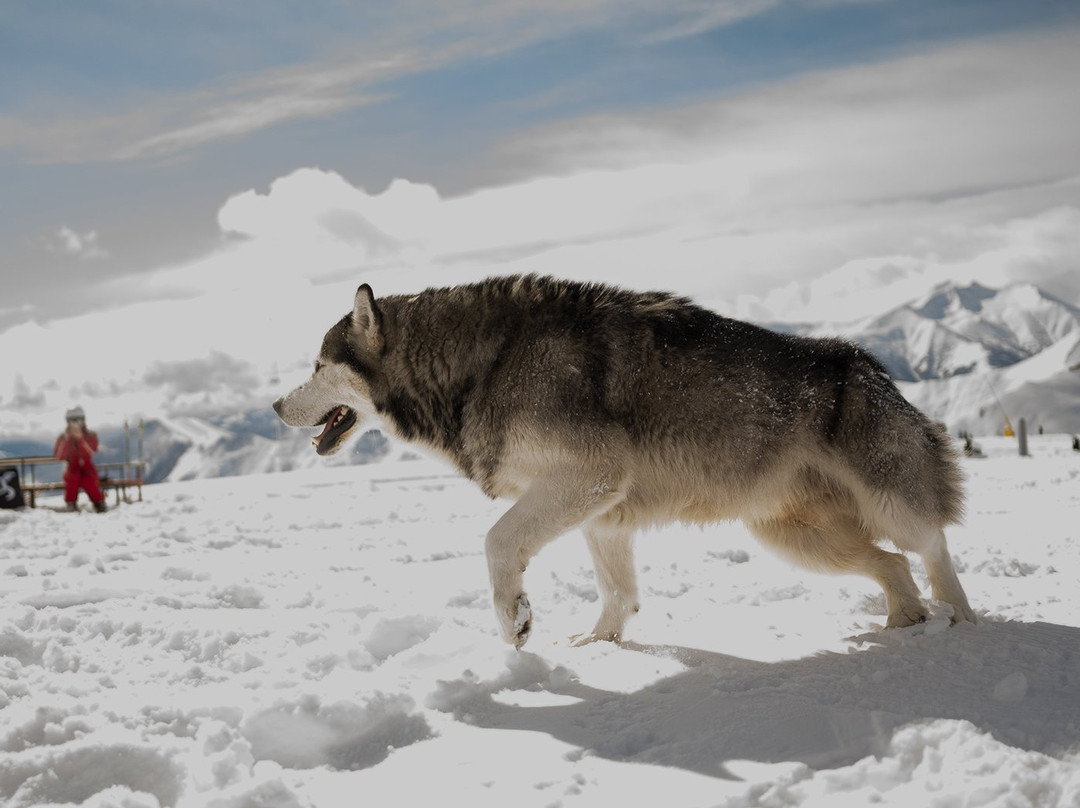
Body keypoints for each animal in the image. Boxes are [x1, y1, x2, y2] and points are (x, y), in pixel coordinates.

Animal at [274, 274, 976, 648]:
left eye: (317, 364)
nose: (276, 404)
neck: (485, 363)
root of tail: (869, 364)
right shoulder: (601, 510)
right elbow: (620, 594)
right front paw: (598, 647)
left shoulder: (591, 476)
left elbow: (497, 542)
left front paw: (515, 621)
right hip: (793, 540)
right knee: (892, 565)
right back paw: (905, 620)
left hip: (886, 506)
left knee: (935, 549)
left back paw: (964, 623)